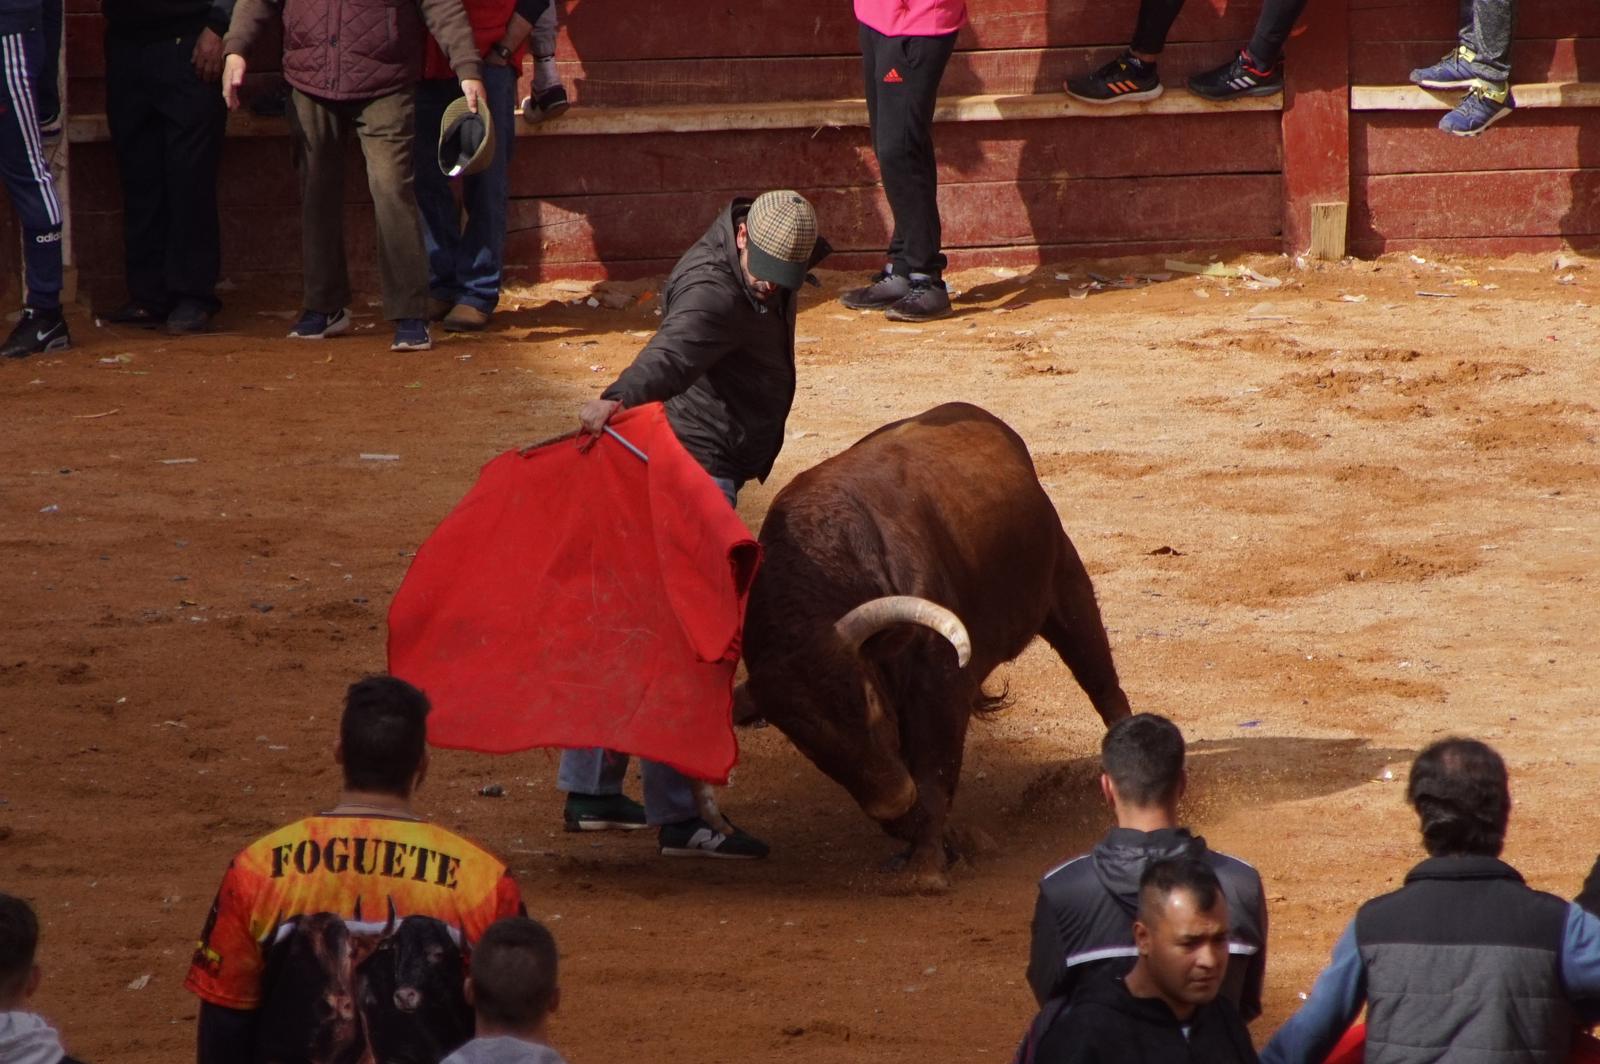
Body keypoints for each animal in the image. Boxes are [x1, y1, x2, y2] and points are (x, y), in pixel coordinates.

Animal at [739, 400, 1132, 889]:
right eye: (802, 739)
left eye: (870, 701)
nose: (892, 799)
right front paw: (935, 845)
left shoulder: (939, 687)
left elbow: (932, 773)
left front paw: (925, 868)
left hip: (1066, 583)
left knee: (1101, 681)